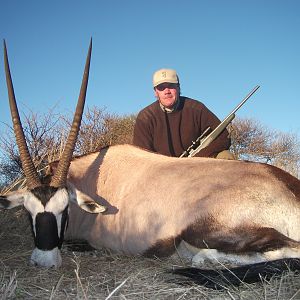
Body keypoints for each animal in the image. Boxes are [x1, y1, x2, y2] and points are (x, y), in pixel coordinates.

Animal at [0, 39, 300, 286]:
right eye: (28, 211)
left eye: (64, 210)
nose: (44, 262)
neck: (91, 178)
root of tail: (289, 186)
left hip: (211, 230)